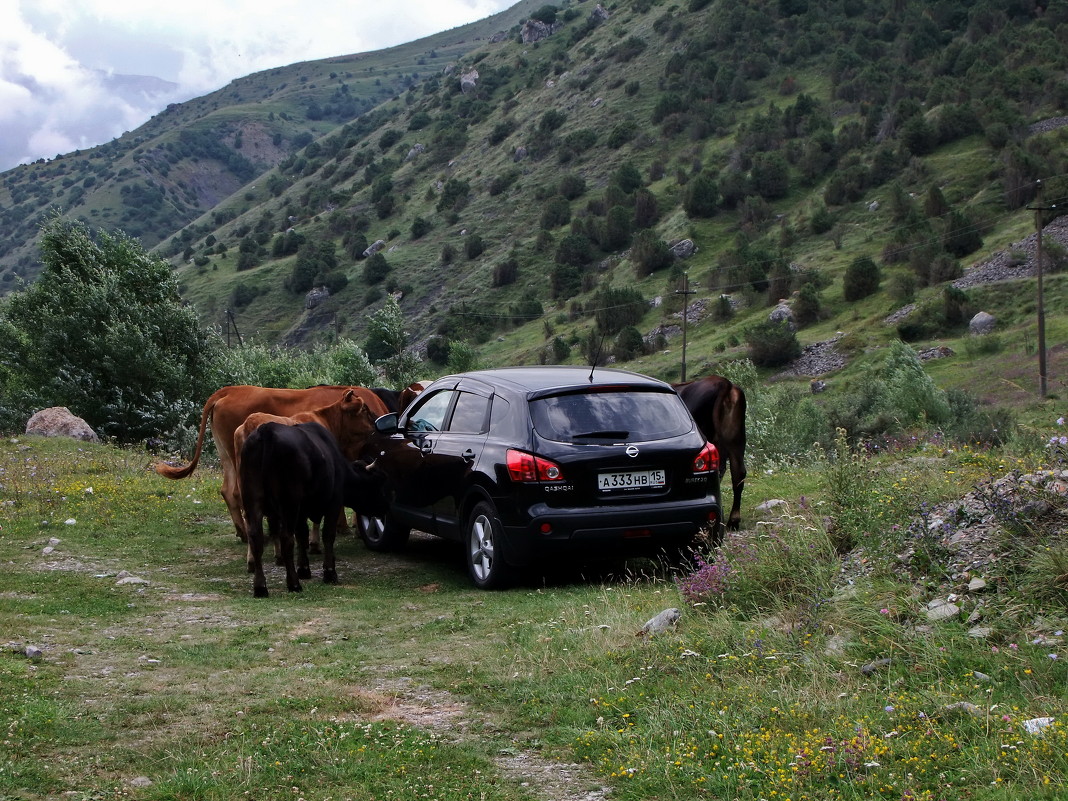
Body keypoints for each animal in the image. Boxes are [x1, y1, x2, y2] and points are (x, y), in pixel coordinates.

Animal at [240, 422, 390, 598]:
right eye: (379, 483)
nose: (388, 505)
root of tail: (267, 429)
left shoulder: (302, 511)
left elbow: (302, 536)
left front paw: (304, 569)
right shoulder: (333, 504)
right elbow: (328, 535)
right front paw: (329, 573)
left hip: (252, 501)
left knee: (256, 539)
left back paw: (260, 587)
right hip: (289, 504)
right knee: (286, 539)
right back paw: (293, 584)